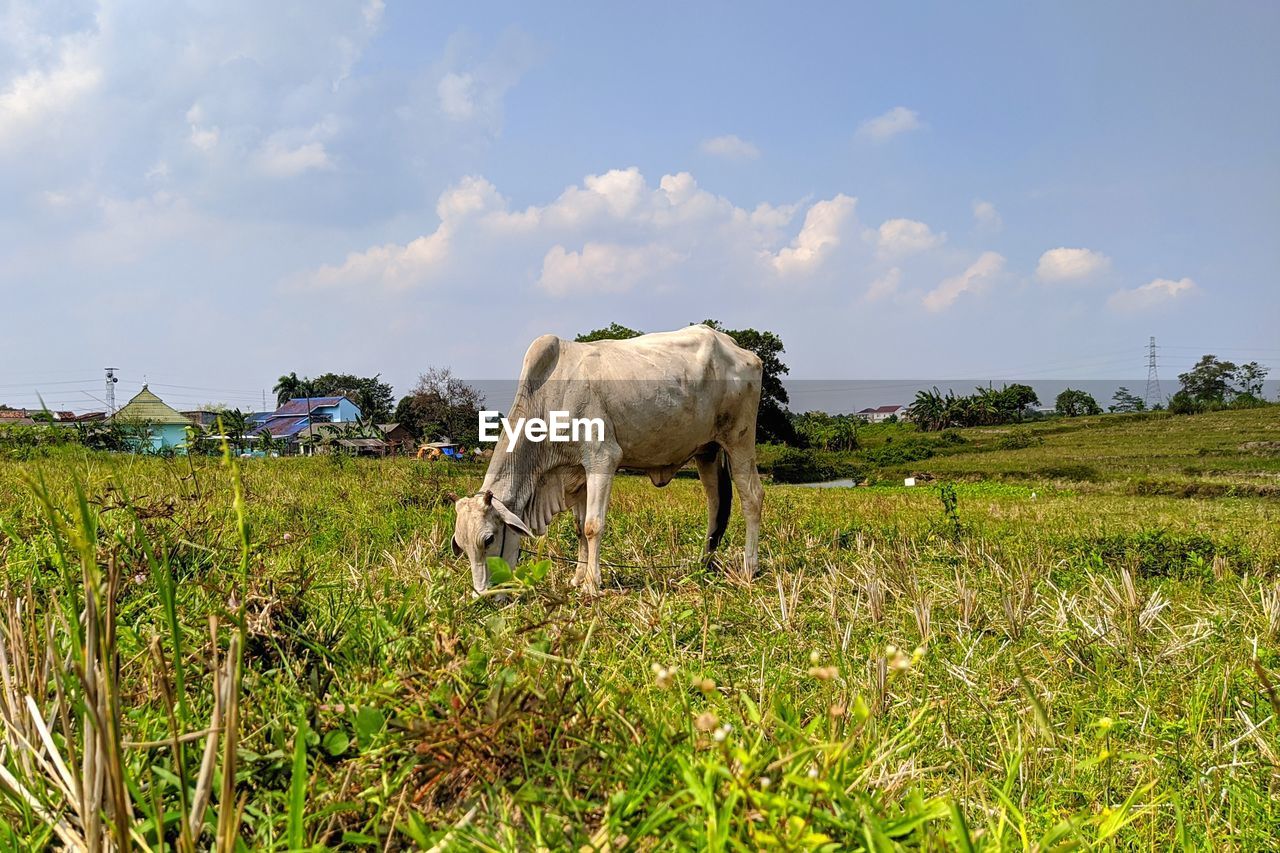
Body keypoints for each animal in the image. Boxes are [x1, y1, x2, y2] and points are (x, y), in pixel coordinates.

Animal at [450, 322, 757, 594]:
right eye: (461, 546)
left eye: (489, 539)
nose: (483, 594)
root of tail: (737, 347)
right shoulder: (577, 474)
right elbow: (578, 527)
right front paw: (577, 578)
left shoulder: (603, 459)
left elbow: (592, 526)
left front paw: (591, 584)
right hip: (707, 451)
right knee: (716, 506)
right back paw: (703, 565)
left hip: (739, 441)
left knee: (752, 499)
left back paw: (749, 568)